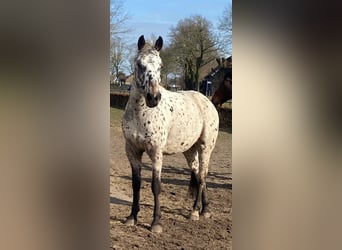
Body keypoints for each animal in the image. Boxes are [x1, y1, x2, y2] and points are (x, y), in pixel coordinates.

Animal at [123, 34, 219, 232]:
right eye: (139, 64)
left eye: (160, 66)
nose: (153, 98)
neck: (140, 114)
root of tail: (206, 100)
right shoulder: (132, 151)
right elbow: (136, 184)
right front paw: (132, 217)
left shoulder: (156, 153)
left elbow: (156, 186)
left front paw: (156, 223)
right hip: (190, 151)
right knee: (199, 175)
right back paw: (204, 210)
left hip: (205, 148)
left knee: (203, 176)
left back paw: (195, 212)